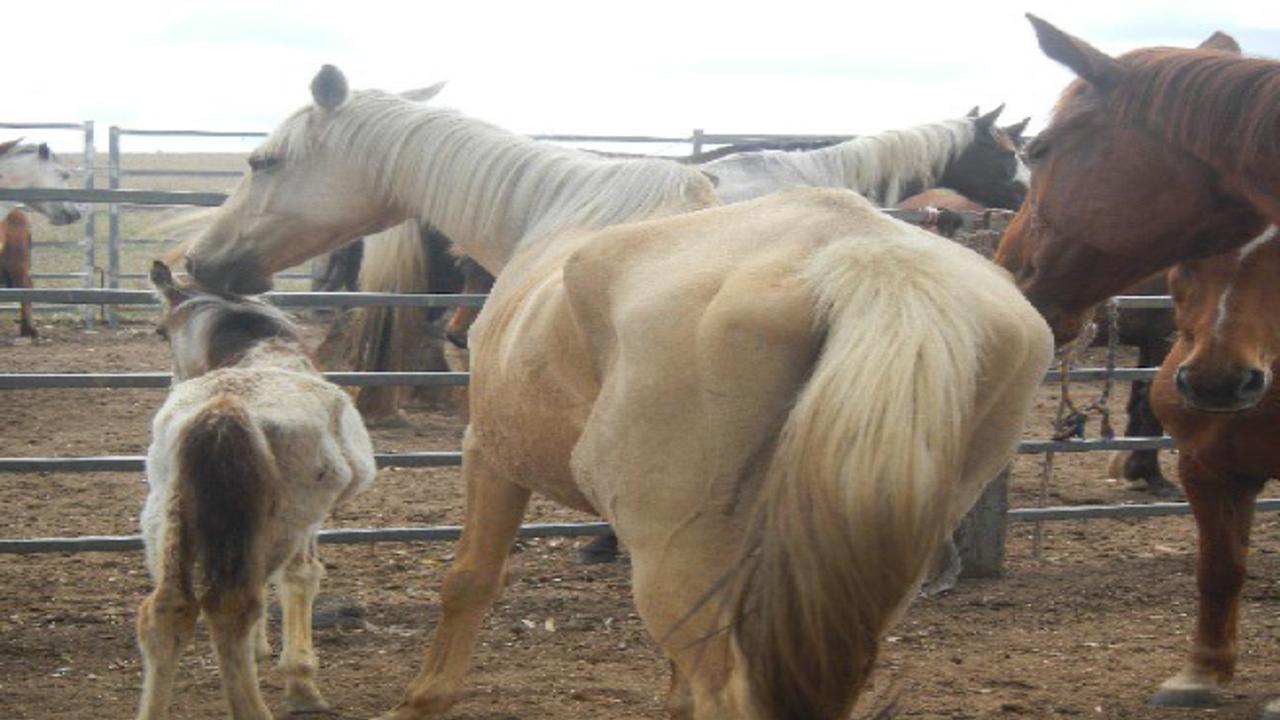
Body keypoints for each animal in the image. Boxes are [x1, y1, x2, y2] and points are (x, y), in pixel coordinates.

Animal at [136, 261, 376, 720]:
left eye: (159, 331)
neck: (263, 351)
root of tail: (223, 410)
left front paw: (262, 649)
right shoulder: (308, 525)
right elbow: (299, 578)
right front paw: (301, 684)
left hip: (168, 516)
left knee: (168, 610)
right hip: (282, 523)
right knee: (232, 605)